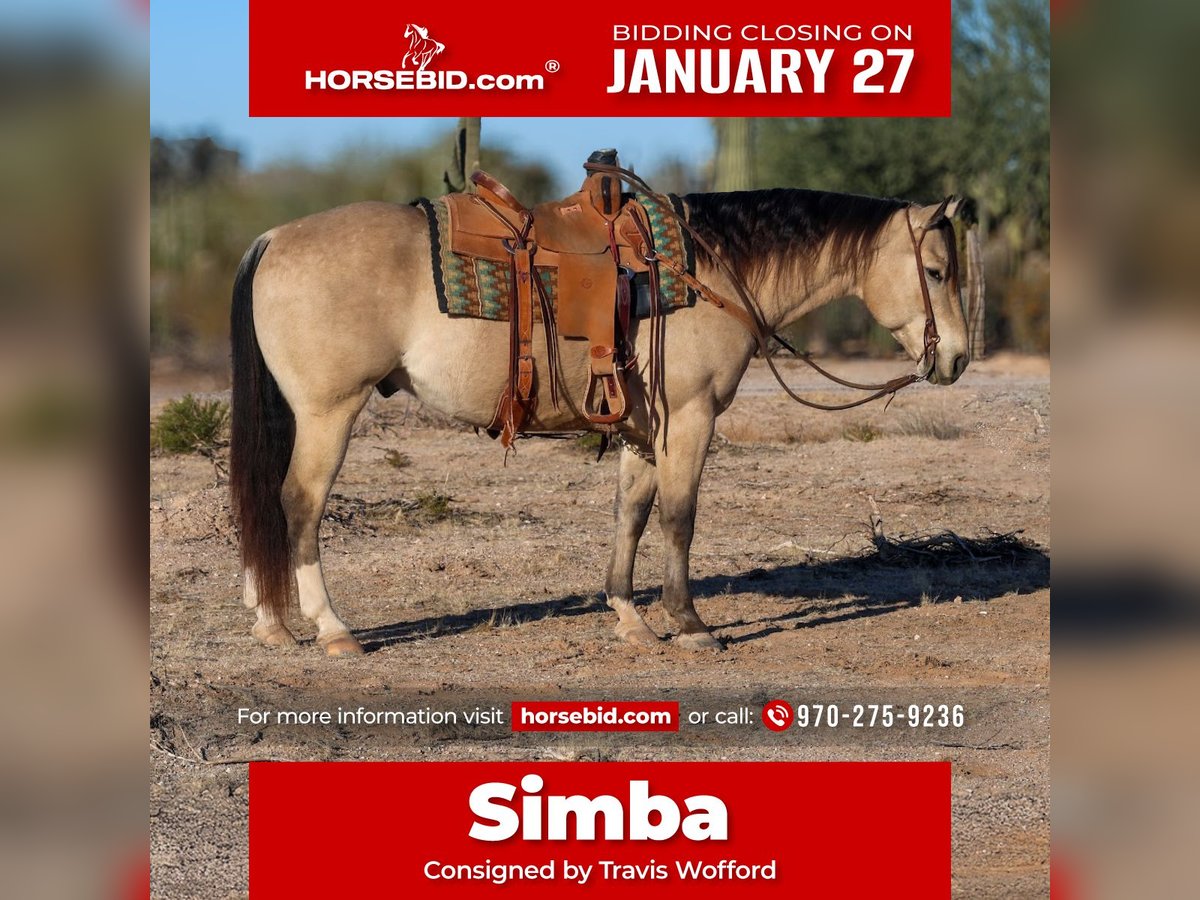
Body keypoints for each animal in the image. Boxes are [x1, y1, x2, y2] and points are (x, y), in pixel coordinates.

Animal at [229, 160, 979, 657]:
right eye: (936, 271)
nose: (957, 359)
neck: (705, 271)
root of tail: (272, 238)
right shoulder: (690, 419)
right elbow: (679, 519)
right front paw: (690, 623)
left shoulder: (643, 430)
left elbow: (631, 516)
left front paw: (631, 617)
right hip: (329, 412)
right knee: (298, 502)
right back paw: (332, 629)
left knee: (265, 503)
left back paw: (270, 620)